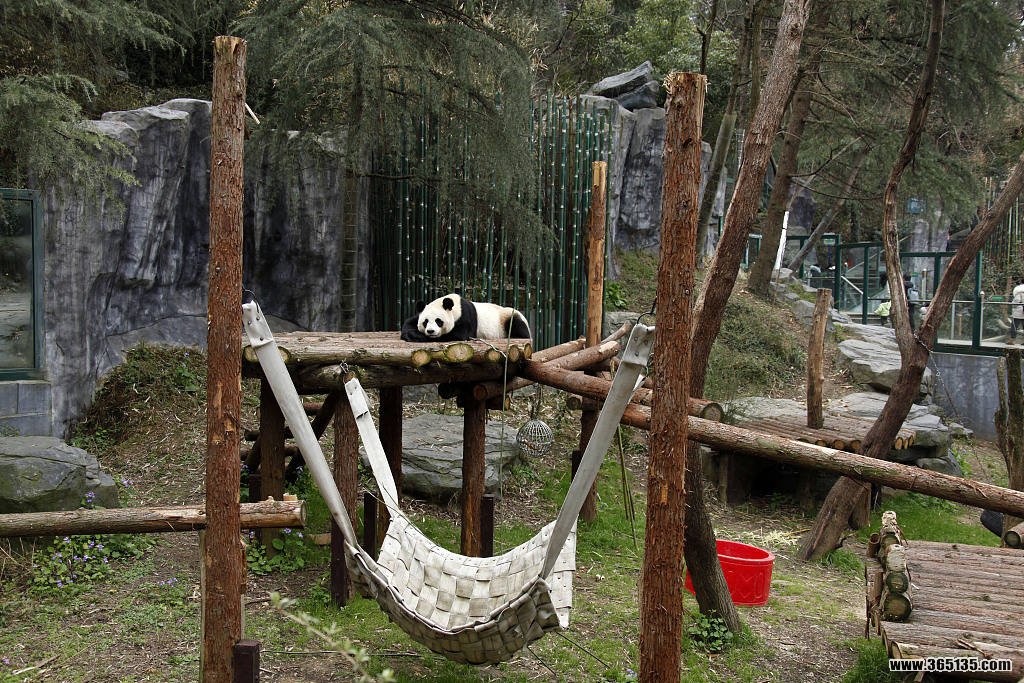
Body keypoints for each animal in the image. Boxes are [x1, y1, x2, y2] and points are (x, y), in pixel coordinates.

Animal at [400, 293, 531, 342]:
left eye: (438, 321)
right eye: (425, 322)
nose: (430, 331)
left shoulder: (465, 317)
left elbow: (457, 335)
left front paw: (417, 336)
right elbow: (409, 321)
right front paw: (409, 334)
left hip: (507, 317)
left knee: (517, 325)